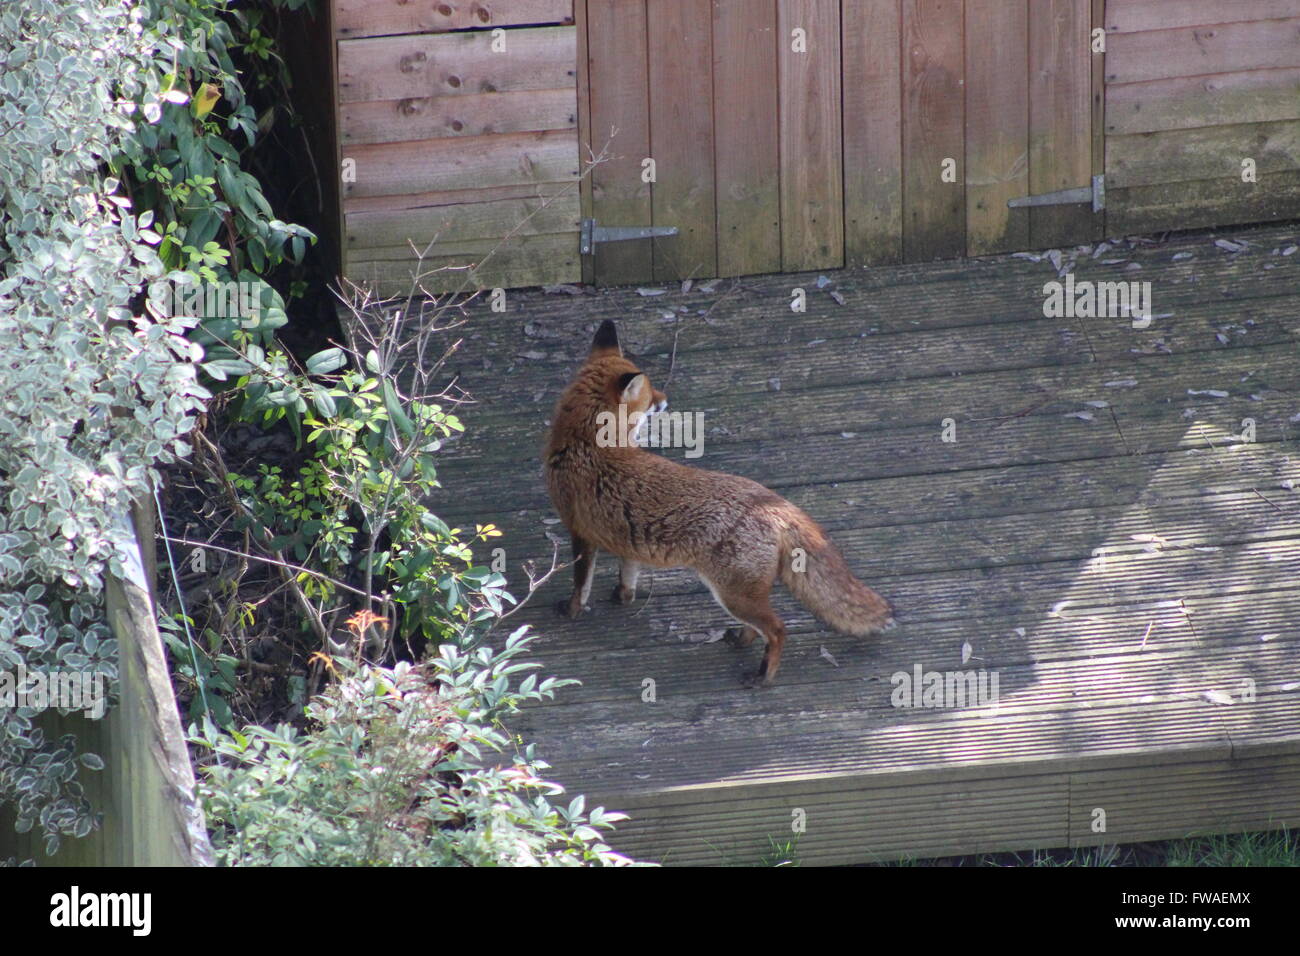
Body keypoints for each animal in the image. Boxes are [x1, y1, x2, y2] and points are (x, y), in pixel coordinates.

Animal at [538, 321, 894, 686]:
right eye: (651, 397)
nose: (665, 400)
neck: (586, 443)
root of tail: (770, 502)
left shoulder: (579, 532)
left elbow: (580, 584)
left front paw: (571, 611)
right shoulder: (625, 542)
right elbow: (629, 576)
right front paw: (622, 598)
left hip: (732, 595)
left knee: (778, 629)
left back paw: (763, 676)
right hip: (742, 595)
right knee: (761, 628)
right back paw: (741, 641)